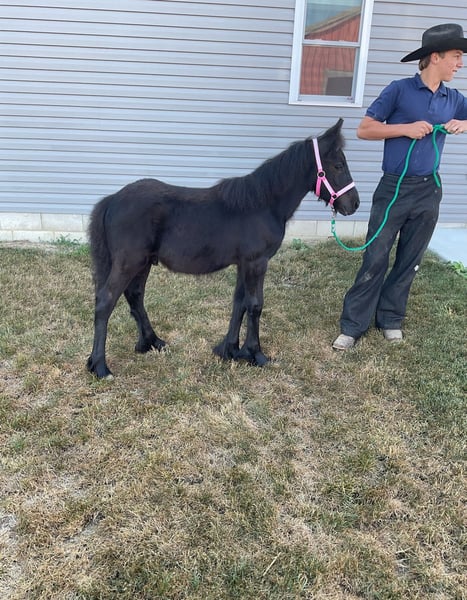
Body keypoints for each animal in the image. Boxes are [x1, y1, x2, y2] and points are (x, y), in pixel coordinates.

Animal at [87, 118, 359, 378]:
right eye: (338, 165)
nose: (354, 204)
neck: (262, 204)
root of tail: (112, 199)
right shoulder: (257, 263)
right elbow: (255, 305)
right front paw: (256, 354)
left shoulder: (243, 264)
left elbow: (239, 303)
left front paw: (230, 350)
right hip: (129, 262)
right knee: (105, 302)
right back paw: (100, 367)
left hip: (143, 263)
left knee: (135, 296)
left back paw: (151, 342)